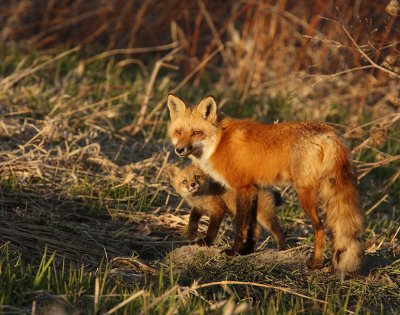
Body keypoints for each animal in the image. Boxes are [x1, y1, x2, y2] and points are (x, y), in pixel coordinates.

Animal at [167, 94, 364, 276]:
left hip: (305, 193)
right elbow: (252, 226)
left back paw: (316, 263)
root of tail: (328, 131)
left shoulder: (242, 187)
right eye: (179, 132)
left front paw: (233, 251)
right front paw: (246, 251)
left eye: (195, 132)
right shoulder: (254, 189)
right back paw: (330, 265)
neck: (219, 142)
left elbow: (241, 225)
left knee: (320, 227)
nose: (179, 149)